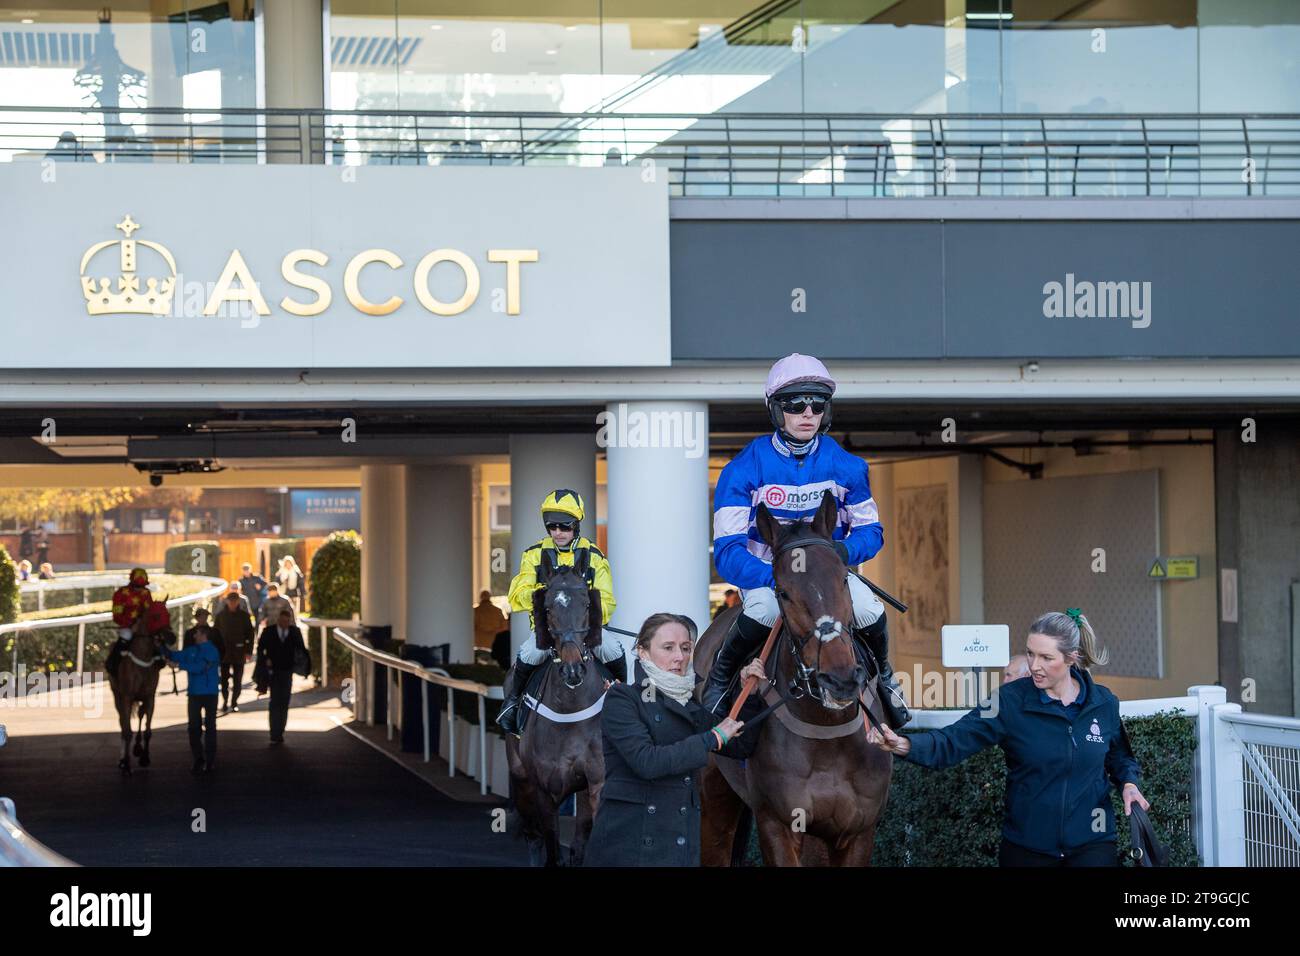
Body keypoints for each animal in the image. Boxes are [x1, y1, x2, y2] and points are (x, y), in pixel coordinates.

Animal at [106, 598, 175, 780]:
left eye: (168, 613)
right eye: (156, 615)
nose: (172, 637)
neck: (142, 660)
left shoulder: (150, 697)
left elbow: (148, 729)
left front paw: (144, 757)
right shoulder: (127, 697)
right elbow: (127, 730)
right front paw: (126, 765)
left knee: (140, 715)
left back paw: (137, 748)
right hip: (117, 695)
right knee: (122, 723)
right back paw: (122, 760)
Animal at [504, 561, 611, 868]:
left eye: (587, 604)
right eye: (548, 607)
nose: (572, 670)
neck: (571, 714)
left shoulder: (595, 784)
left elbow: (582, 848)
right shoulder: (544, 790)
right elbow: (553, 850)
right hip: (521, 781)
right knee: (533, 837)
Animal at [702, 494, 894, 868]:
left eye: (844, 579)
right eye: (783, 591)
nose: (839, 680)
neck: (828, 732)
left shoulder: (859, 832)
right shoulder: (777, 825)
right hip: (712, 794)